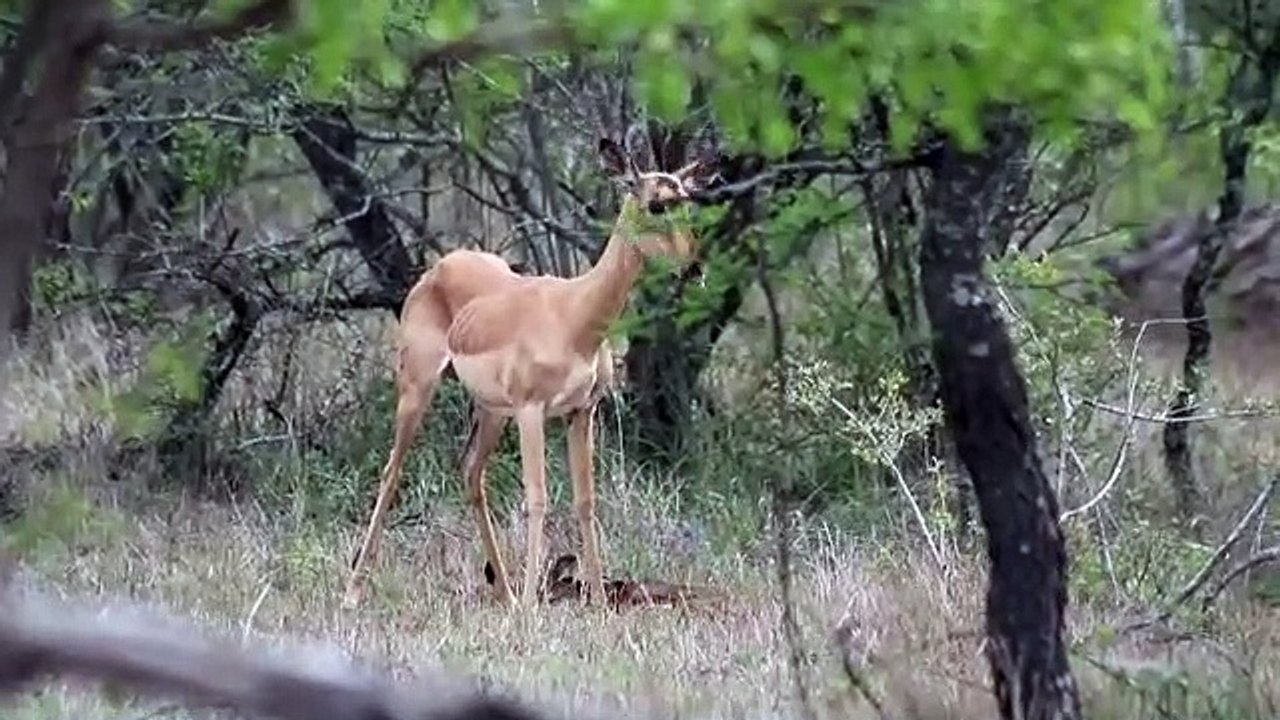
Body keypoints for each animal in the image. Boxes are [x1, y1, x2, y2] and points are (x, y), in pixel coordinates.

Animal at [343, 127, 721, 609]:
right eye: (656, 203)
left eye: (687, 200)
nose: (694, 268)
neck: (573, 315)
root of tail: (440, 267)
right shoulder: (531, 411)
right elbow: (537, 498)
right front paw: (530, 608)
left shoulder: (582, 412)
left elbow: (585, 501)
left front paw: (598, 604)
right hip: (418, 388)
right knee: (392, 472)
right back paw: (353, 593)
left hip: (490, 411)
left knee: (471, 472)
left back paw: (503, 591)